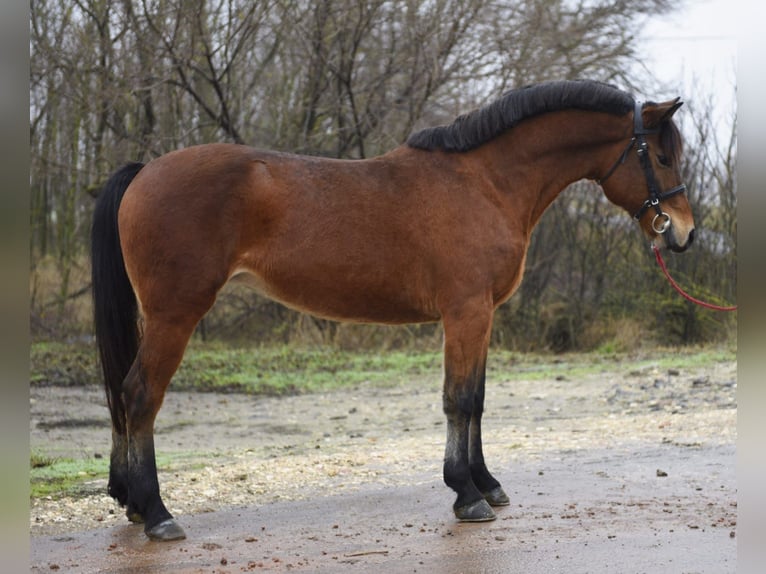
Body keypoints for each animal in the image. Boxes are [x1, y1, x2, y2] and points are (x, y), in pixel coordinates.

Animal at [91, 79, 694, 541]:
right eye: (663, 157)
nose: (684, 234)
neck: (484, 182)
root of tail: (145, 171)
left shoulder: (483, 317)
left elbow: (477, 401)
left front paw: (486, 483)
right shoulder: (465, 313)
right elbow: (459, 400)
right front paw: (466, 494)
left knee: (124, 396)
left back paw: (132, 502)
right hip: (175, 316)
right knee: (139, 396)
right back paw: (158, 514)